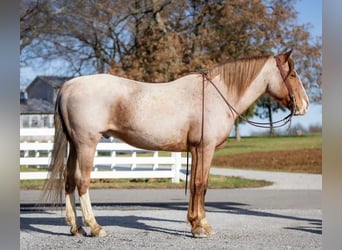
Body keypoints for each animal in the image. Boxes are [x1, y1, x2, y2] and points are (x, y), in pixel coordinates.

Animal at [42, 49, 310, 238]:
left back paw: (76, 228)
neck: (216, 95)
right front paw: (201, 227)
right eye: (292, 74)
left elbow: (195, 185)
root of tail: (68, 86)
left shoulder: (196, 150)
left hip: (74, 145)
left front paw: (195, 222)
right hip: (87, 144)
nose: (304, 106)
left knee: (68, 181)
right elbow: (201, 184)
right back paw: (95, 227)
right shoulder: (206, 148)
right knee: (82, 182)